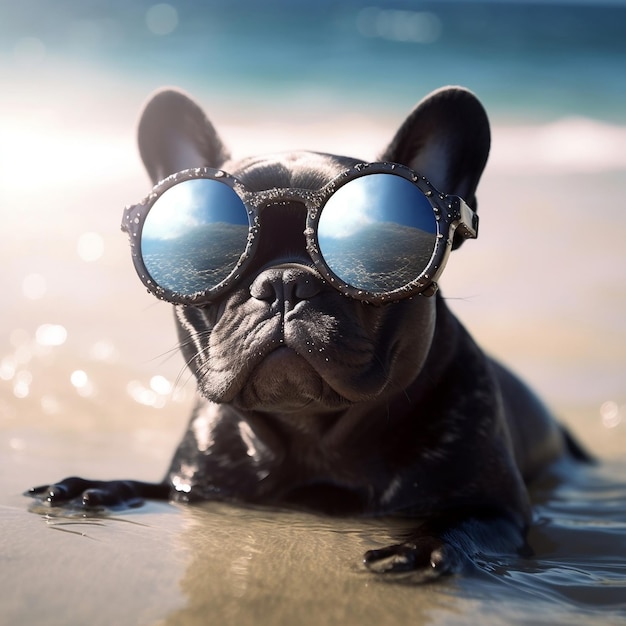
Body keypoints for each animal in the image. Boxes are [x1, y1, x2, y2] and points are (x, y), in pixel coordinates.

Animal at [28, 85, 576, 576]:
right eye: (209, 257)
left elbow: (460, 523)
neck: (313, 435)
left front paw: (421, 547)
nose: (285, 282)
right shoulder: (191, 486)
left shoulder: (497, 510)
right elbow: (151, 487)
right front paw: (96, 487)